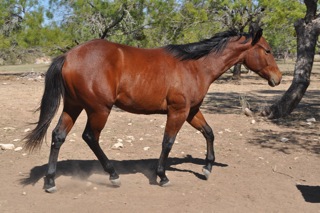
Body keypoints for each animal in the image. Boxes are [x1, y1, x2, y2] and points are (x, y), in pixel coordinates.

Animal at [25, 25, 282, 192]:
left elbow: (209, 133)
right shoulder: (178, 111)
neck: (194, 66)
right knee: (90, 137)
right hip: (99, 110)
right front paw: (162, 176)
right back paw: (113, 175)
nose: (277, 78)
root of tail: (68, 56)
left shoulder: (191, 111)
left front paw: (207, 168)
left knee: (58, 136)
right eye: (267, 50)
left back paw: (50, 181)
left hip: (74, 106)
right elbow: (167, 142)